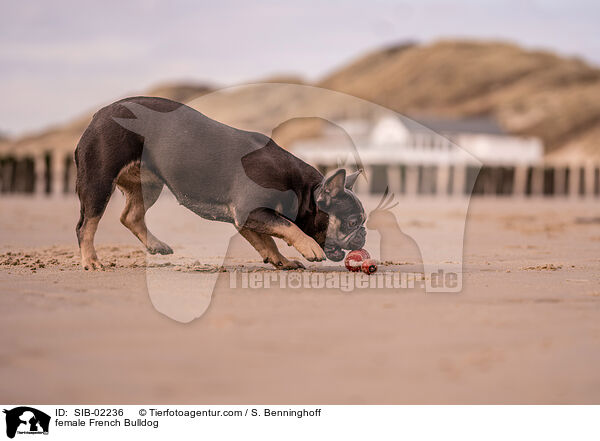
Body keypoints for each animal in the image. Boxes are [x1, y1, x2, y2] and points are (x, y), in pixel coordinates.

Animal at [75, 96, 366, 268]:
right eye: (352, 222)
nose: (363, 234)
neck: (301, 190)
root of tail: (99, 115)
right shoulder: (253, 212)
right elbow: (288, 227)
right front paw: (309, 247)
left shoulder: (246, 220)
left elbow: (267, 241)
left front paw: (281, 261)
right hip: (99, 183)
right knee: (86, 225)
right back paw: (91, 260)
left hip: (149, 185)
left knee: (131, 216)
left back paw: (156, 245)